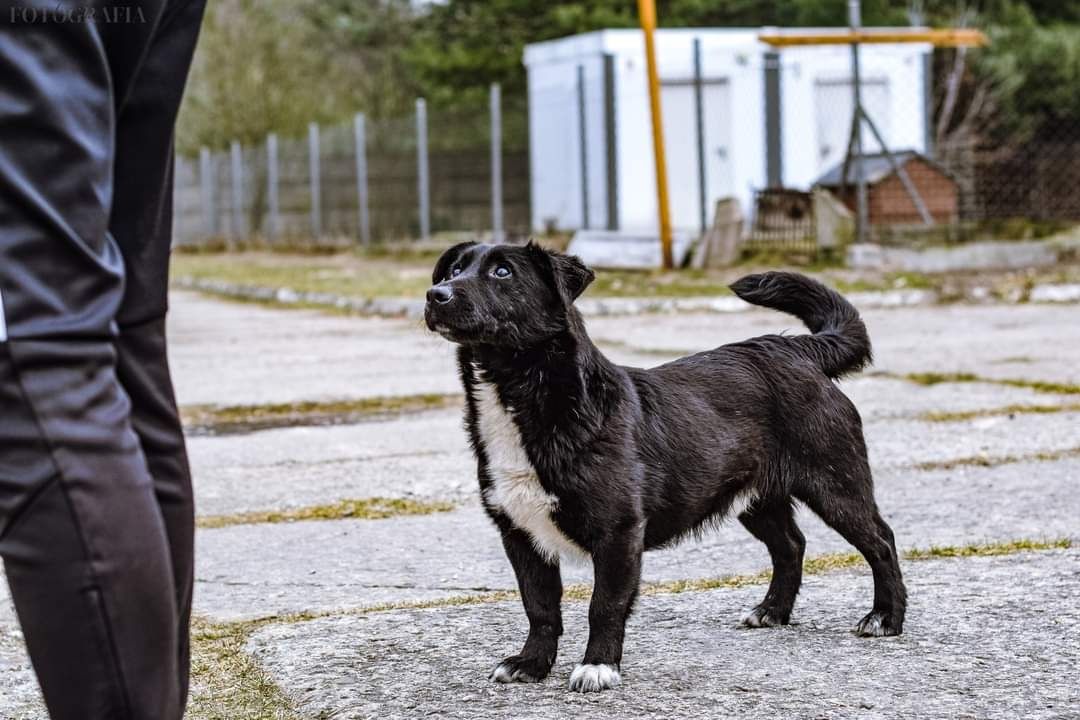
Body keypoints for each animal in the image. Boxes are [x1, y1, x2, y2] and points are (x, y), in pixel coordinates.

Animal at [425, 240, 907, 690]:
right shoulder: (520, 534)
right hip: (755, 497)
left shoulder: (619, 533)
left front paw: (598, 666)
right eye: (453, 269)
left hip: (836, 483)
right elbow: (540, 607)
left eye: (503, 272)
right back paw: (773, 611)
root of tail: (797, 349)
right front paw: (532, 664)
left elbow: (604, 605)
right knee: (791, 544)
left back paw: (886, 617)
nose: (435, 294)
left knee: (880, 541)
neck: (526, 397)